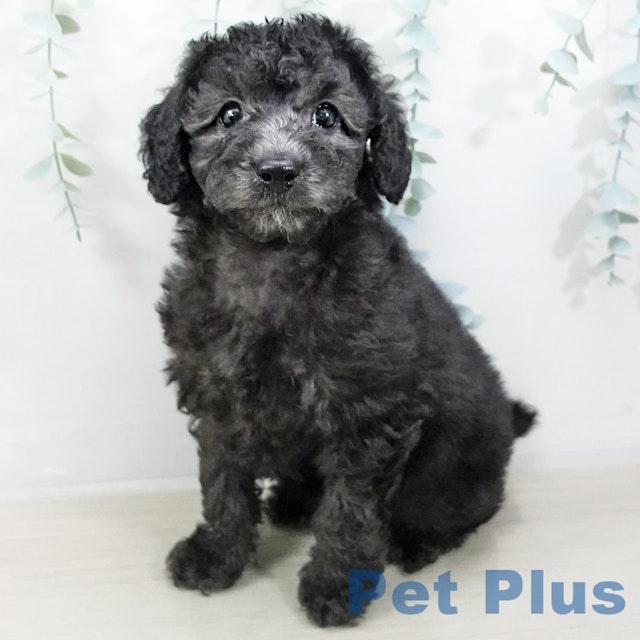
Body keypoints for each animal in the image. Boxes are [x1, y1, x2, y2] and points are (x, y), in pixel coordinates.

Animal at [139, 15, 535, 627]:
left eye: (326, 115)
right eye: (229, 114)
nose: (278, 171)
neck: (275, 256)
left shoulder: (368, 413)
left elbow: (351, 513)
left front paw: (335, 588)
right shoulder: (216, 392)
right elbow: (222, 479)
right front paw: (217, 556)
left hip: (455, 471)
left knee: (465, 510)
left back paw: (416, 543)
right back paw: (293, 502)